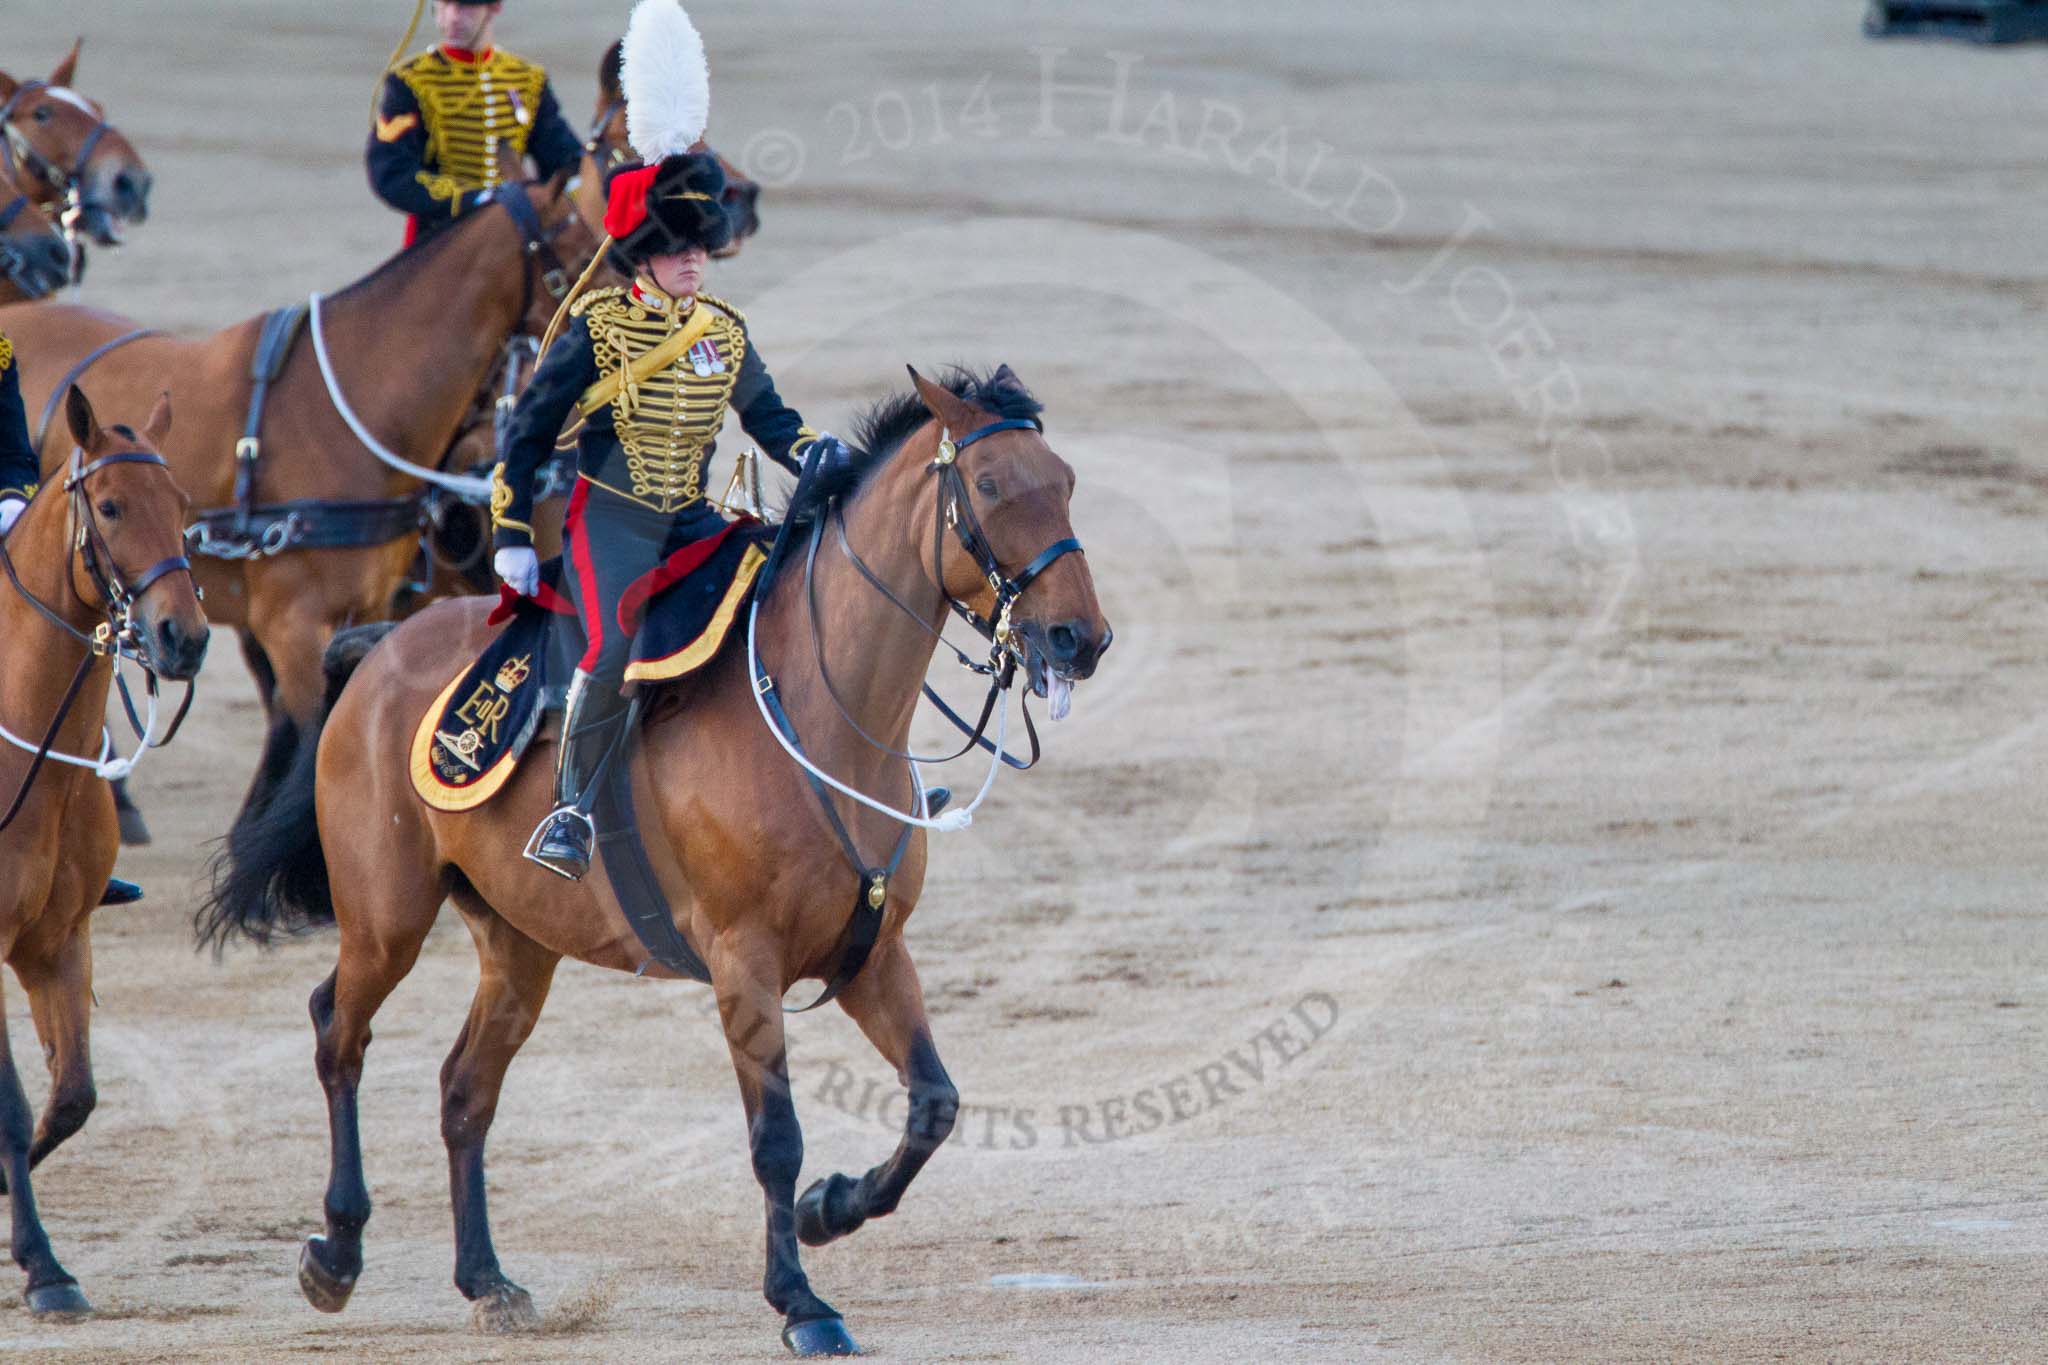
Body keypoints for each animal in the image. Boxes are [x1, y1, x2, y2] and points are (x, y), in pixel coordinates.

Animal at [199, 366, 1114, 1358]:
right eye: (989, 486)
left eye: (1066, 481)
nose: (1080, 639)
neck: (819, 705)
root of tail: (378, 649)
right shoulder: (744, 962)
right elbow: (777, 1137)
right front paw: (802, 1299)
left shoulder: (876, 952)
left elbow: (933, 1103)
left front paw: (832, 1206)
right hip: (385, 918)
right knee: (340, 1030)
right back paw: (335, 1252)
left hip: (518, 944)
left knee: (465, 1087)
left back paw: (487, 1279)